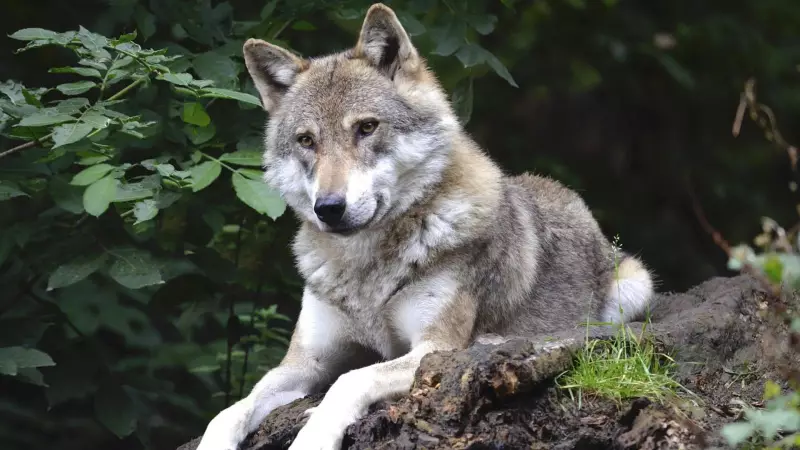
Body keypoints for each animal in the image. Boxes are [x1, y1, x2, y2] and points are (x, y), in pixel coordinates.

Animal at [195, 3, 654, 450]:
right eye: (307, 141)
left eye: (366, 127)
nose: (329, 208)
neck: (366, 271)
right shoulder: (305, 362)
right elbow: (230, 409)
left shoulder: (433, 348)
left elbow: (350, 380)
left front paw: (314, 435)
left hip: (633, 288)